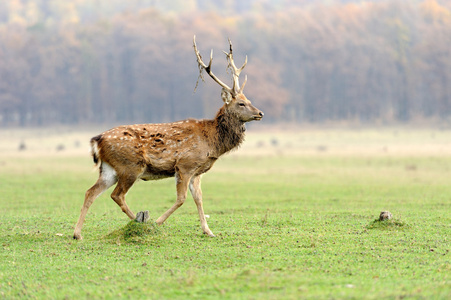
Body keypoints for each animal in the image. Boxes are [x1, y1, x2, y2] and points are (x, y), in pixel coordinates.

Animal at [73, 37, 264, 239]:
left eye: (249, 100)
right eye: (241, 103)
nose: (260, 113)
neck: (212, 142)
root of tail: (97, 140)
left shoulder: (197, 172)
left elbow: (199, 198)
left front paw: (208, 231)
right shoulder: (185, 165)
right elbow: (181, 199)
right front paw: (158, 222)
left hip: (109, 169)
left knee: (90, 192)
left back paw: (77, 233)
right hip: (130, 166)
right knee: (117, 195)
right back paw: (141, 222)